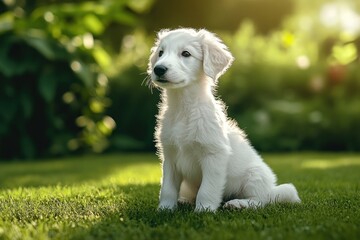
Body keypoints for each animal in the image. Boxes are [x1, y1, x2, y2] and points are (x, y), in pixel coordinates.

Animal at [146, 28, 300, 212]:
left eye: (186, 53)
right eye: (161, 53)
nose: (158, 69)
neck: (184, 109)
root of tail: (271, 189)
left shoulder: (214, 154)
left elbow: (207, 188)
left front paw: (203, 210)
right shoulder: (169, 155)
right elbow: (167, 188)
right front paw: (165, 209)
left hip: (254, 175)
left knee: (261, 200)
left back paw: (238, 203)